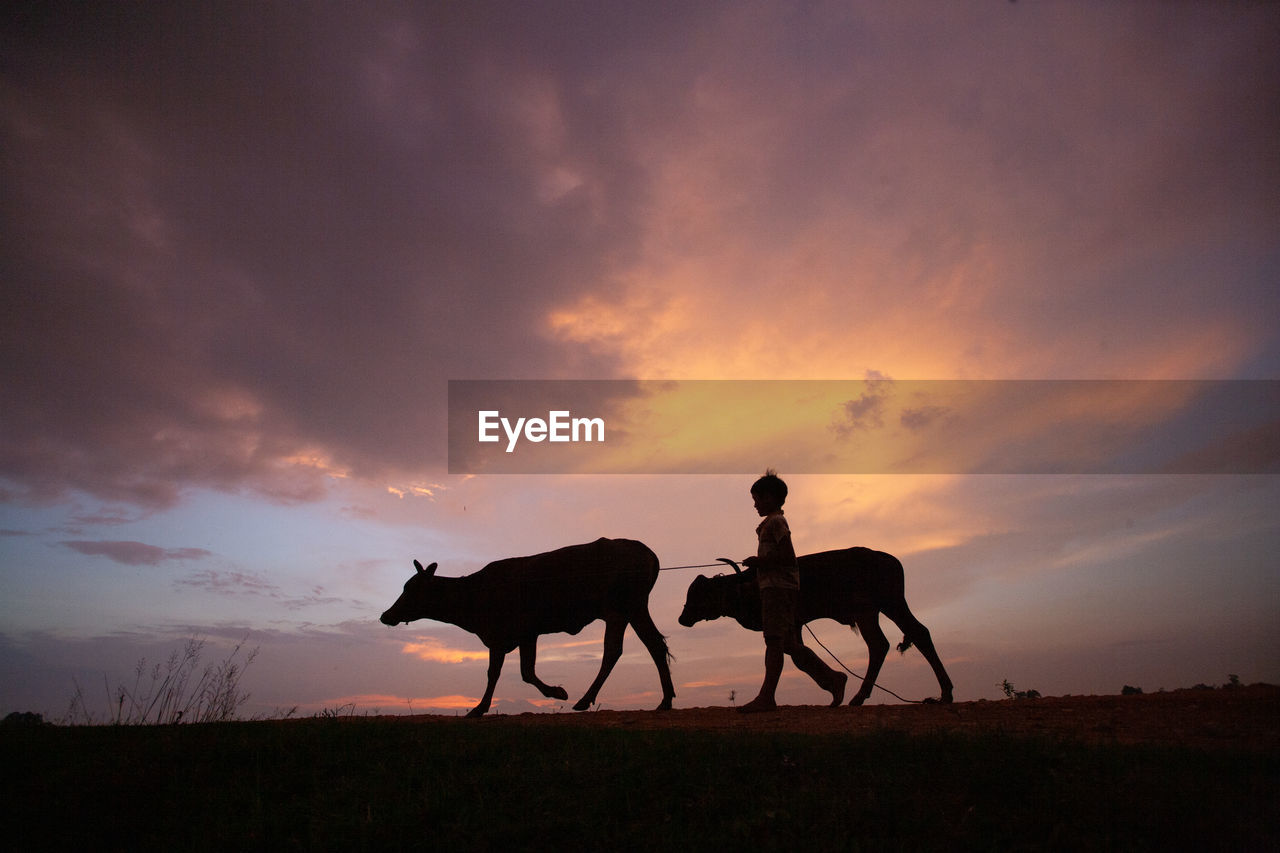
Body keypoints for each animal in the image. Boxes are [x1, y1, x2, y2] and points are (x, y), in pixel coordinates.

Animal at [378, 537, 680, 712]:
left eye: (410, 589)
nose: (385, 615)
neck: (473, 594)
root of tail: (647, 552)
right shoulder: (524, 635)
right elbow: (522, 672)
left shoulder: (509, 634)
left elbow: (503, 673)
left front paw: (481, 707)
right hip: (636, 609)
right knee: (654, 645)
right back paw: (665, 700)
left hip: (617, 610)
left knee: (612, 651)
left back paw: (584, 700)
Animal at [680, 548, 952, 701]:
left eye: (698, 594)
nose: (682, 618)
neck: (744, 587)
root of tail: (887, 558)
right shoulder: (796, 625)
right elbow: (798, 655)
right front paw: (834, 684)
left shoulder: (788, 624)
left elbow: (797, 656)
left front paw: (835, 684)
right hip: (875, 610)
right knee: (894, 640)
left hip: (886, 605)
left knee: (903, 637)